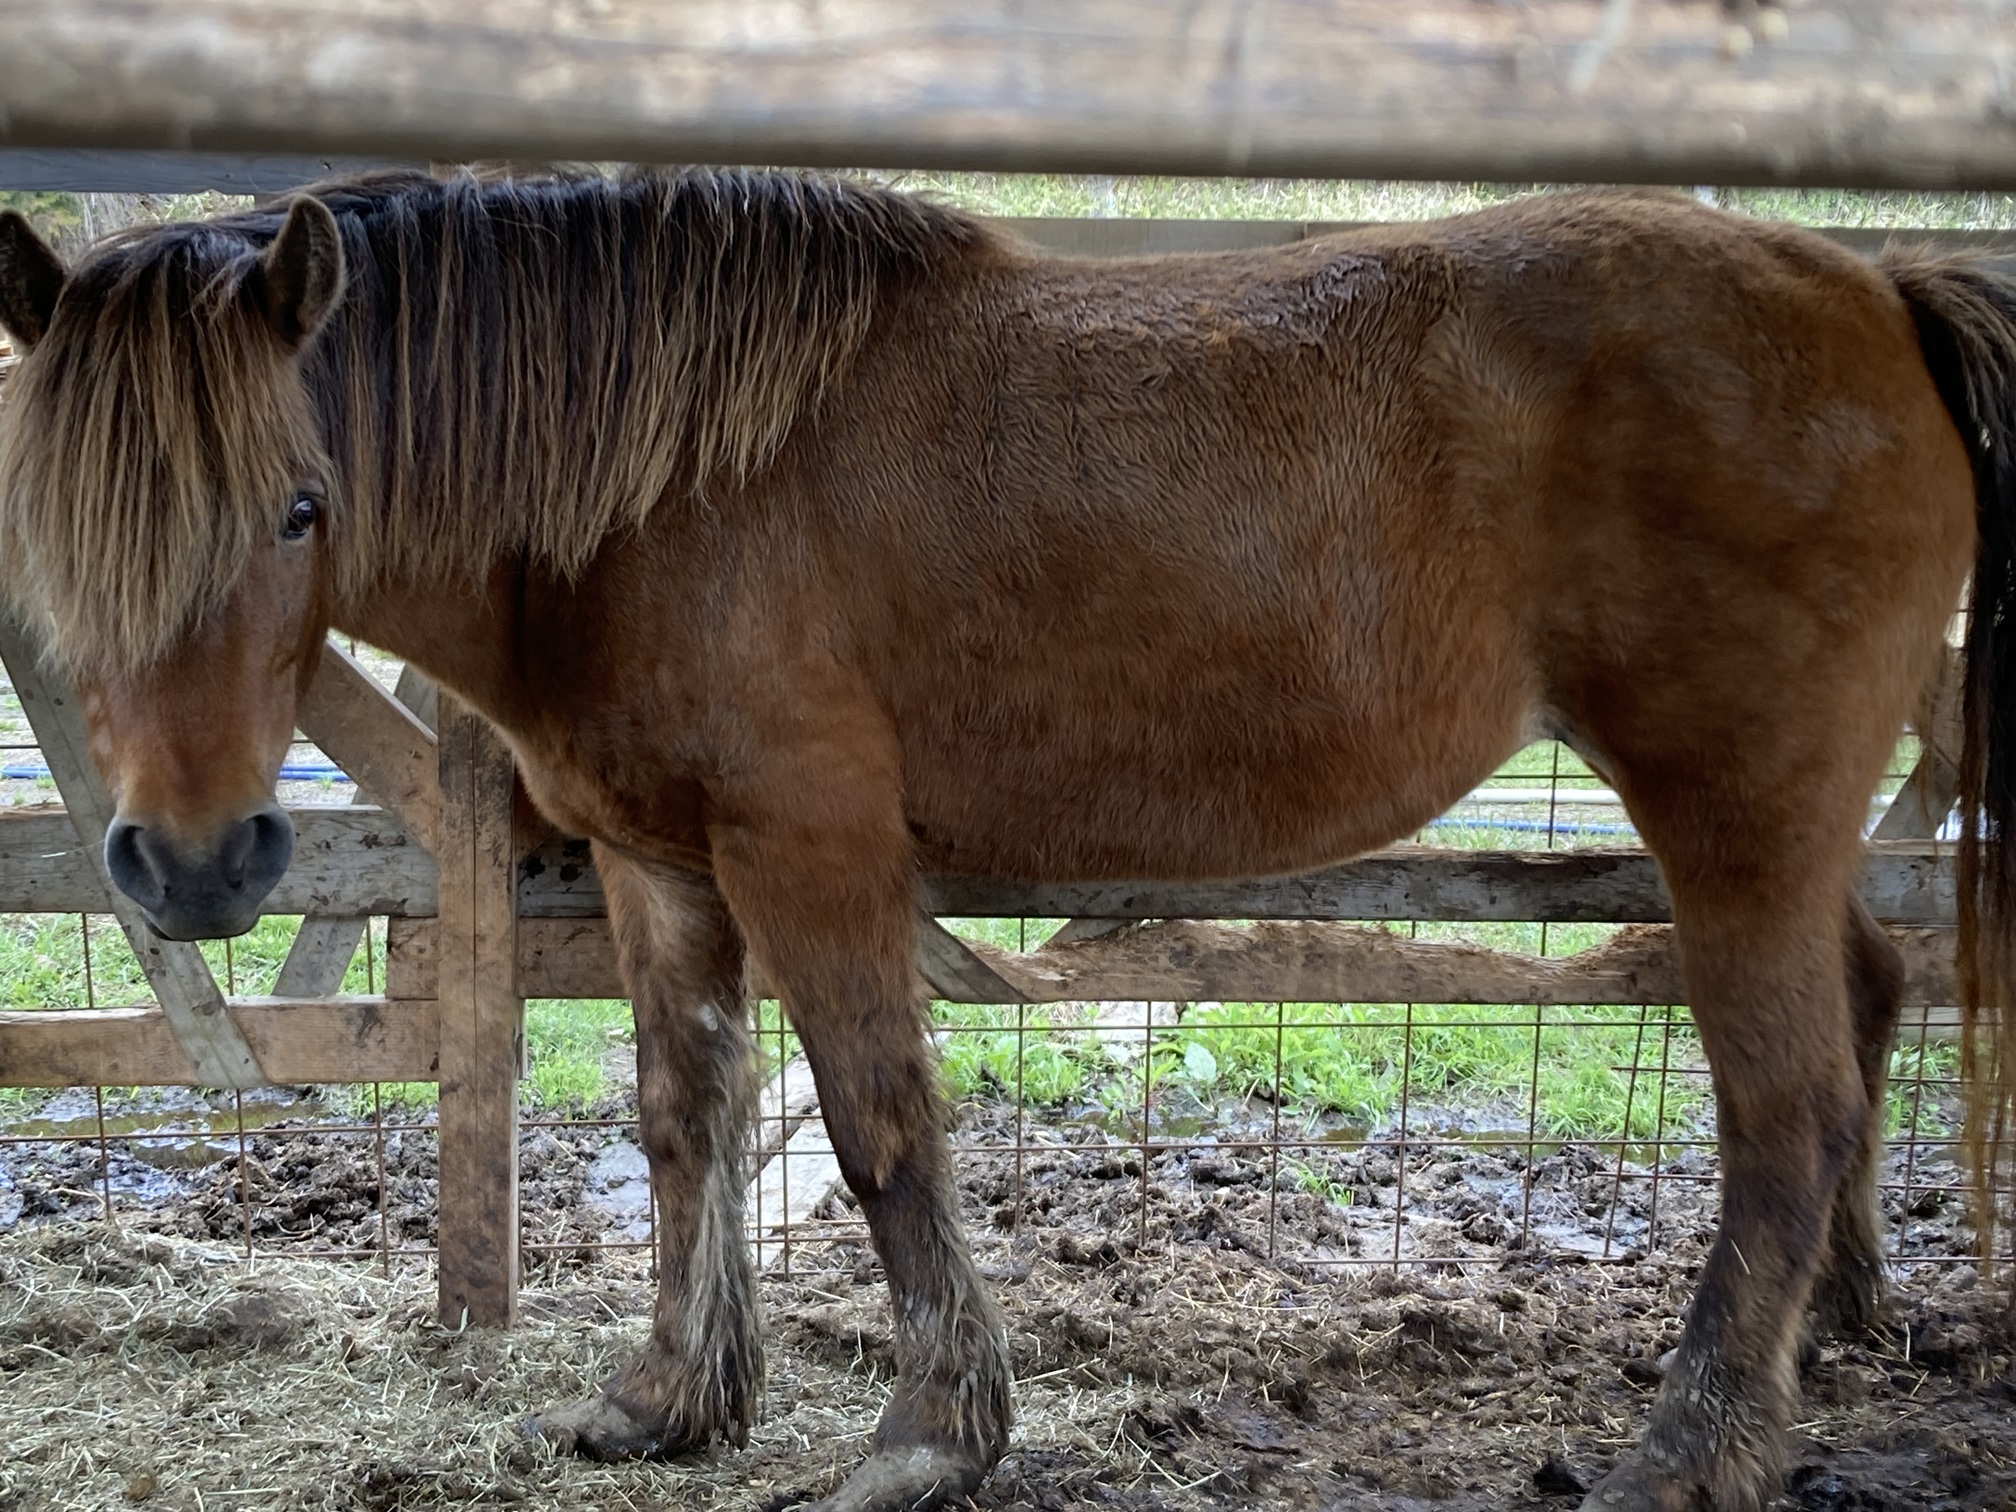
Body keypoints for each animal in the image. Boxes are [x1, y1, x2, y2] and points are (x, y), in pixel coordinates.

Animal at [2, 167, 2014, 1512]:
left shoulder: (811, 847)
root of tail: (1878, 289)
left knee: (1787, 1112)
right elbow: (685, 1119)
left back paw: (1688, 1446)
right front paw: (672, 1398)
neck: (672, 481)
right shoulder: (667, 866)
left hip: (1731, 819)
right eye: (48, 529)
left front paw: (928, 1435)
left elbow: (882, 1125)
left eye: (299, 506)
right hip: (1781, 837)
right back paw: (1830, 1333)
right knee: (1867, 1001)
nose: (195, 868)